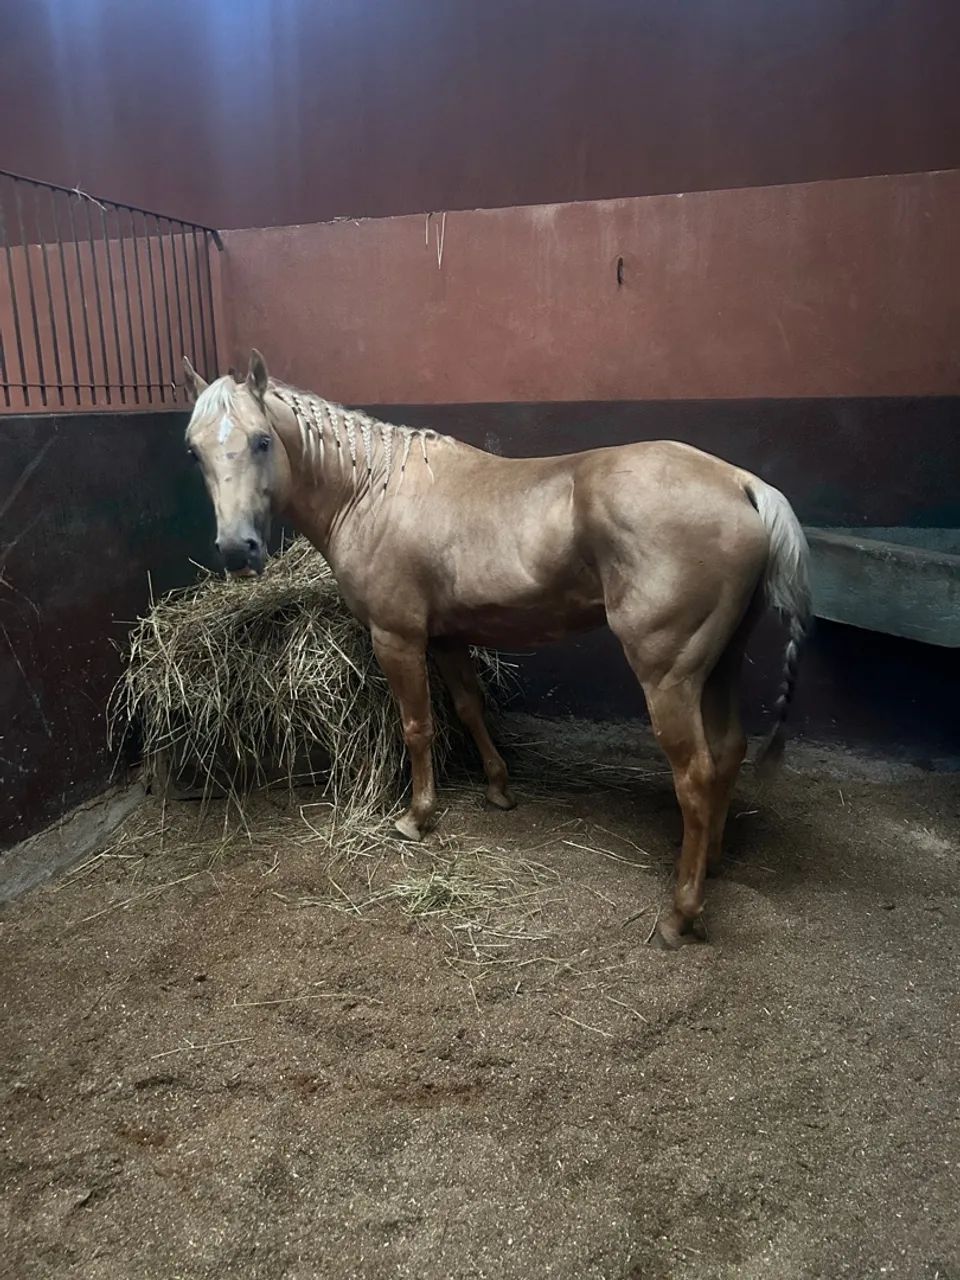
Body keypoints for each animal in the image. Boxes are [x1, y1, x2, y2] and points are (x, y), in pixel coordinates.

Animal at [182, 351, 810, 948]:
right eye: (195, 451)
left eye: (262, 440)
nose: (237, 549)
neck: (373, 489)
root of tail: (741, 484)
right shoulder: (448, 637)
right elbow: (468, 708)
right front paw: (498, 788)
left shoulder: (398, 638)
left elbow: (418, 726)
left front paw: (418, 816)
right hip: (718, 664)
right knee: (728, 751)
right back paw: (712, 864)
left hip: (669, 675)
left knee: (696, 775)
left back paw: (681, 913)